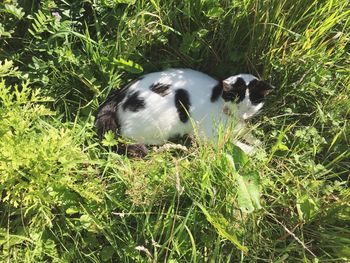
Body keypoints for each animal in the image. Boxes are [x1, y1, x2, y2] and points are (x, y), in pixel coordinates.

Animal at [95, 69, 274, 158]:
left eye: (252, 105)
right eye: (237, 102)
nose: (243, 115)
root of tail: (119, 93)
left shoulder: (240, 126)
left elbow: (247, 133)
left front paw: (259, 143)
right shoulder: (209, 136)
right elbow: (234, 144)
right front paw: (256, 151)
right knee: (128, 134)